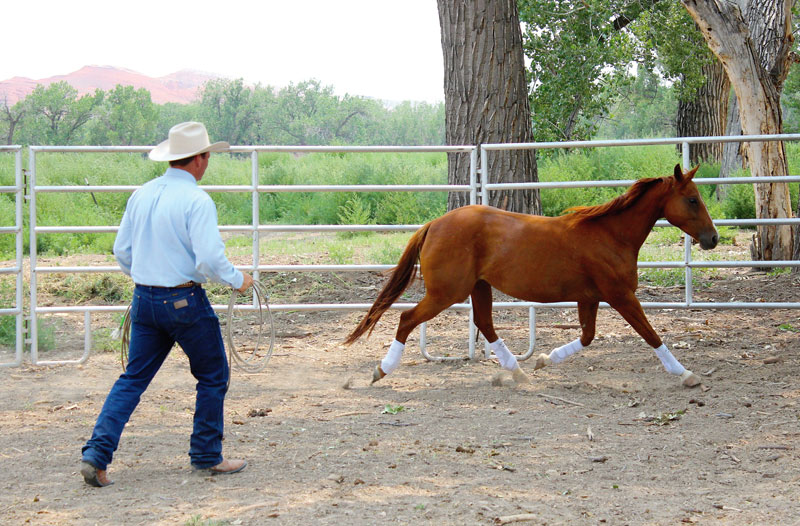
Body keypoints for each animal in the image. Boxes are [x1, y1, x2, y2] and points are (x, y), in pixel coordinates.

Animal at [344, 167, 720, 390]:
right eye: (692, 199)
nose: (713, 238)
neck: (610, 235)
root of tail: (434, 224)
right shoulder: (620, 295)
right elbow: (651, 334)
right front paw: (686, 374)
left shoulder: (589, 297)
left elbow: (587, 337)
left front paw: (543, 360)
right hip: (447, 292)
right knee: (407, 318)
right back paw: (380, 371)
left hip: (478, 287)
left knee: (485, 324)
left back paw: (518, 371)